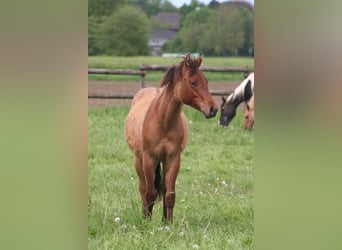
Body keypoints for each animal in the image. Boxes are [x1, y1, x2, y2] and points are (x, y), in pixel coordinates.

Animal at [124, 53, 218, 222]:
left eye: (206, 81)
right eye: (193, 82)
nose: (213, 109)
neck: (163, 121)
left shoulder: (173, 158)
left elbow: (170, 194)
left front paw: (168, 222)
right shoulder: (149, 158)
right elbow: (149, 193)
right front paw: (147, 221)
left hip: (163, 161)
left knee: (163, 187)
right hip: (139, 160)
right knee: (143, 188)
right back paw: (144, 215)